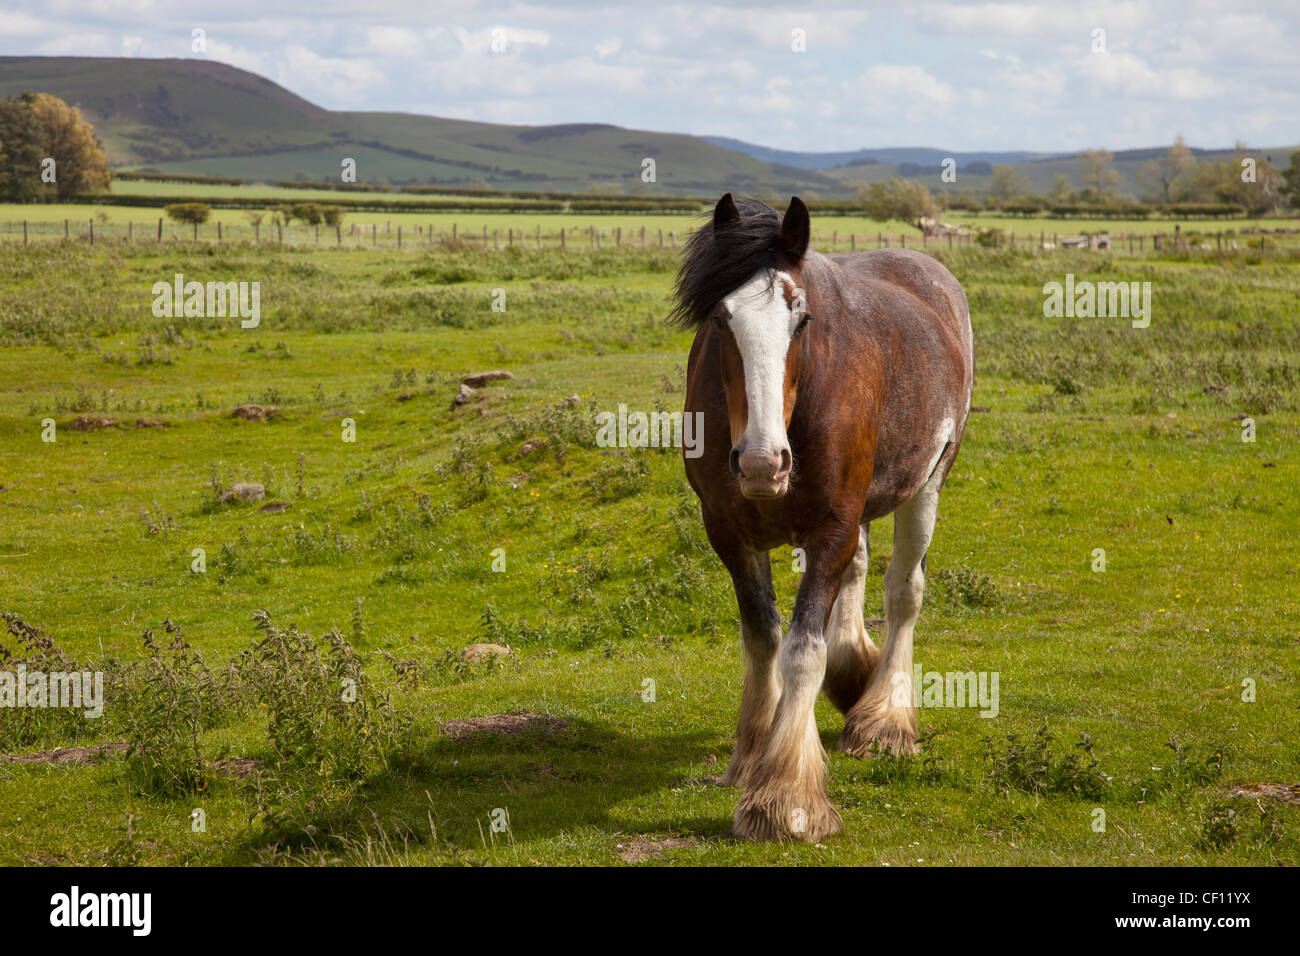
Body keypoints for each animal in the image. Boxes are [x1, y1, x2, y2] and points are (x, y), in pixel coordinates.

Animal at [675, 194, 974, 842]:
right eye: (721, 319)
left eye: (802, 319)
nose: (762, 461)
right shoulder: (728, 532)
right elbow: (762, 636)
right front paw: (752, 754)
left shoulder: (831, 527)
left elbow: (802, 649)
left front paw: (786, 795)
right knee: (859, 572)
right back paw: (855, 677)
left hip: (928, 483)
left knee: (904, 592)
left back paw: (885, 720)